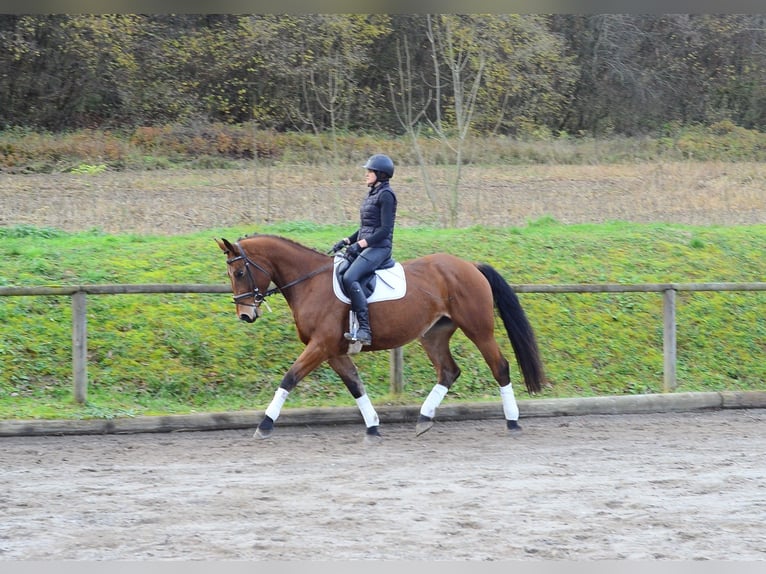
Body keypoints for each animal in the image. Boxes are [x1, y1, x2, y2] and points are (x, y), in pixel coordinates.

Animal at [216, 234, 546, 442]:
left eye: (240, 273)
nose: (245, 315)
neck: (309, 283)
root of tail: (470, 266)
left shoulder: (320, 346)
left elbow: (289, 378)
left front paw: (264, 425)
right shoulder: (333, 351)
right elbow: (355, 385)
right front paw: (373, 427)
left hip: (478, 329)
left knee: (499, 366)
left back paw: (513, 422)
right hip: (433, 334)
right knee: (449, 371)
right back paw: (424, 419)